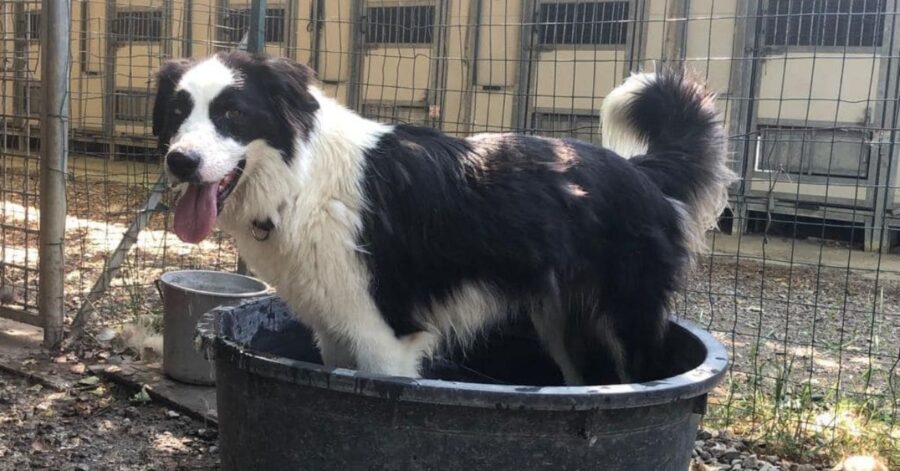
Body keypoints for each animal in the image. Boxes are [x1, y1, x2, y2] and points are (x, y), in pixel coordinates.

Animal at [153, 51, 732, 386]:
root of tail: (640, 170)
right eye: (178, 111)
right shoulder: (335, 331)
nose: (179, 161)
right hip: (563, 325)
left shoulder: (384, 339)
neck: (301, 181)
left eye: (233, 113)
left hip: (627, 321)